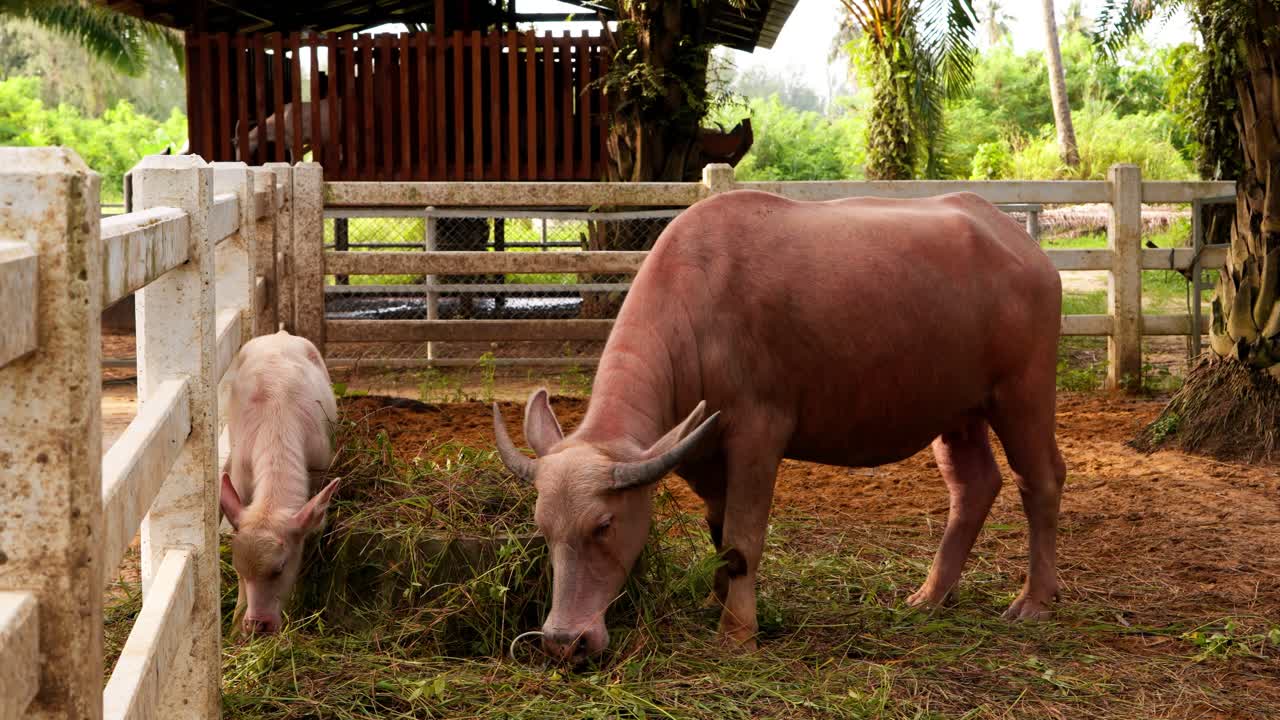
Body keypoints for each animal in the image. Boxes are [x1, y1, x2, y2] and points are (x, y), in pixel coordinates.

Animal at [218, 330, 340, 635]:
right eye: (238, 569)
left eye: (280, 568)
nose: (258, 625)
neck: (276, 421)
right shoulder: (241, 480)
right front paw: (236, 625)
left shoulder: (320, 474)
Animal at [493, 189, 1066, 663]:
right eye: (542, 529)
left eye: (604, 525)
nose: (565, 641)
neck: (698, 307)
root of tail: (1024, 246)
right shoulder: (701, 454)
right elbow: (718, 534)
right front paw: (717, 601)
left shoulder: (757, 434)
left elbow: (743, 538)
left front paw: (737, 632)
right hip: (958, 411)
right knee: (974, 485)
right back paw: (930, 596)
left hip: (1022, 394)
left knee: (1041, 480)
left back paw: (1034, 600)